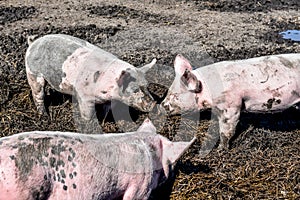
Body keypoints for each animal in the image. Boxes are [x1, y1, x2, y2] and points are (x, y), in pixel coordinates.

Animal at [25, 34, 157, 120]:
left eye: (147, 86)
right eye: (135, 90)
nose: (154, 103)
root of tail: (34, 43)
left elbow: (105, 111)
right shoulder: (84, 97)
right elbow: (88, 115)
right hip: (33, 74)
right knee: (38, 95)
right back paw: (44, 117)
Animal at [162, 54, 300, 149]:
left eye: (175, 95)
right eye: (169, 91)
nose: (162, 105)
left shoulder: (231, 106)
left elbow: (226, 131)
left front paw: (220, 149)